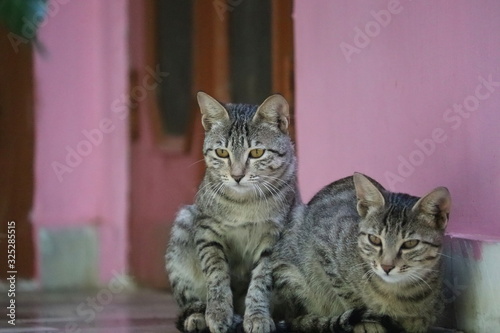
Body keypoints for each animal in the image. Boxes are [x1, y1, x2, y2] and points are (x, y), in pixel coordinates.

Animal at [165, 91, 300, 332]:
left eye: (256, 152)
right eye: (221, 152)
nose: (237, 176)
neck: (244, 203)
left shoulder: (275, 238)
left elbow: (260, 282)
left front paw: (257, 316)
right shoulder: (207, 231)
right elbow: (217, 275)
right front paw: (218, 313)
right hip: (183, 225)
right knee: (190, 301)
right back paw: (197, 317)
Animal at [272, 172, 452, 330]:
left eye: (410, 244)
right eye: (374, 239)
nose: (386, 267)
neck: (396, 292)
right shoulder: (323, 244)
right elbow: (347, 292)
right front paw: (366, 322)